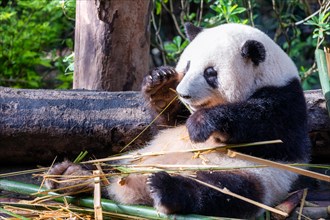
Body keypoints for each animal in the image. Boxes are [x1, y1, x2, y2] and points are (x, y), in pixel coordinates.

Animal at [45, 22, 310, 218]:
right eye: (188, 65)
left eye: (210, 73)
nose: (183, 93)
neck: (268, 77)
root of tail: (134, 189)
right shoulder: (175, 118)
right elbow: (166, 122)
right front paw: (161, 85)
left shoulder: (288, 103)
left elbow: (267, 129)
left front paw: (201, 124)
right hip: (132, 158)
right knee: (107, 168)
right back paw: (69, 174)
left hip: (253, 176)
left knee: (223, 191)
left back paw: (165, 189)